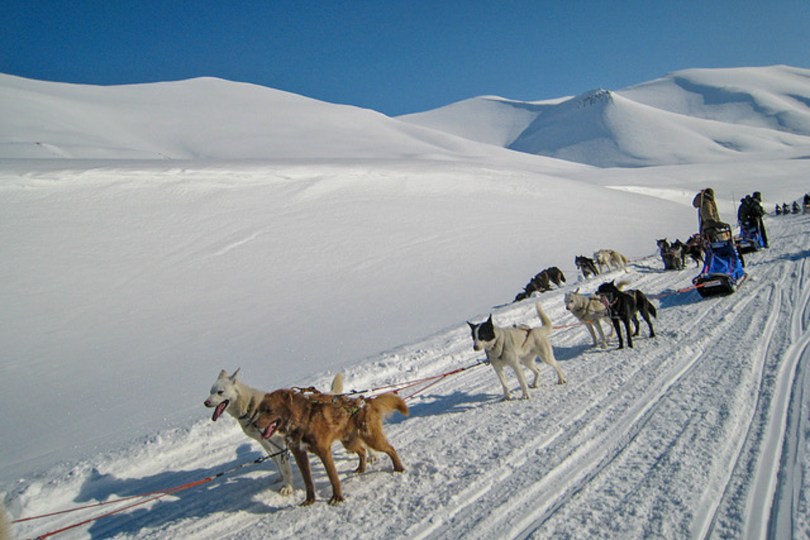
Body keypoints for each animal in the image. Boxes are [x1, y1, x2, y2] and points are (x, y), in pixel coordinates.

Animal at [204, 369, 344, 496]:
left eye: (220, 392)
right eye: (210, 391)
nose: (206, 403)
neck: (249, 408)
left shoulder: (278, 442)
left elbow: (285, 467)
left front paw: (287, 487)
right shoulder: (265, 442)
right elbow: (276, 461)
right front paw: (281, 478)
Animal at [252, 388, 408, 506]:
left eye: (269, 410)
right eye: (259, 410)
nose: (254, 424)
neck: (303, 420)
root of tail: (365, 403)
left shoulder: (324, 452)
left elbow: (333, 477)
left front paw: (337, 498)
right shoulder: (299, 455)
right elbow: (308, 481)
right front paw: (309, 500)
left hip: (371, 439)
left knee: (390, 448)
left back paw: (398, 467)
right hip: (349, 443)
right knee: (362, 450)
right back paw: (361, 468)